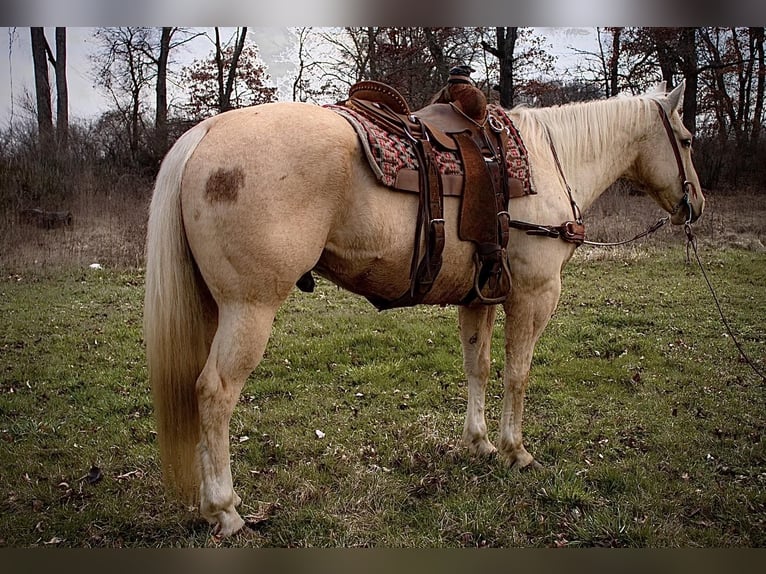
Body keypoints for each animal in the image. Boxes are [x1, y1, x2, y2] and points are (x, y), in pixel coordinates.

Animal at [146, 82, 708, 540]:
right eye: (685, 140)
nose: (696, 205)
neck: (550, 163)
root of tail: (208, 130)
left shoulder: (481, 297)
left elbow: (479, 367)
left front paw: (478, 444)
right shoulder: (534, 294)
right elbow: (518, 373)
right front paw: (515, 451)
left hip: (215, 309)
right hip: (250, 309)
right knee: (214, 393)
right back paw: (225, 511)